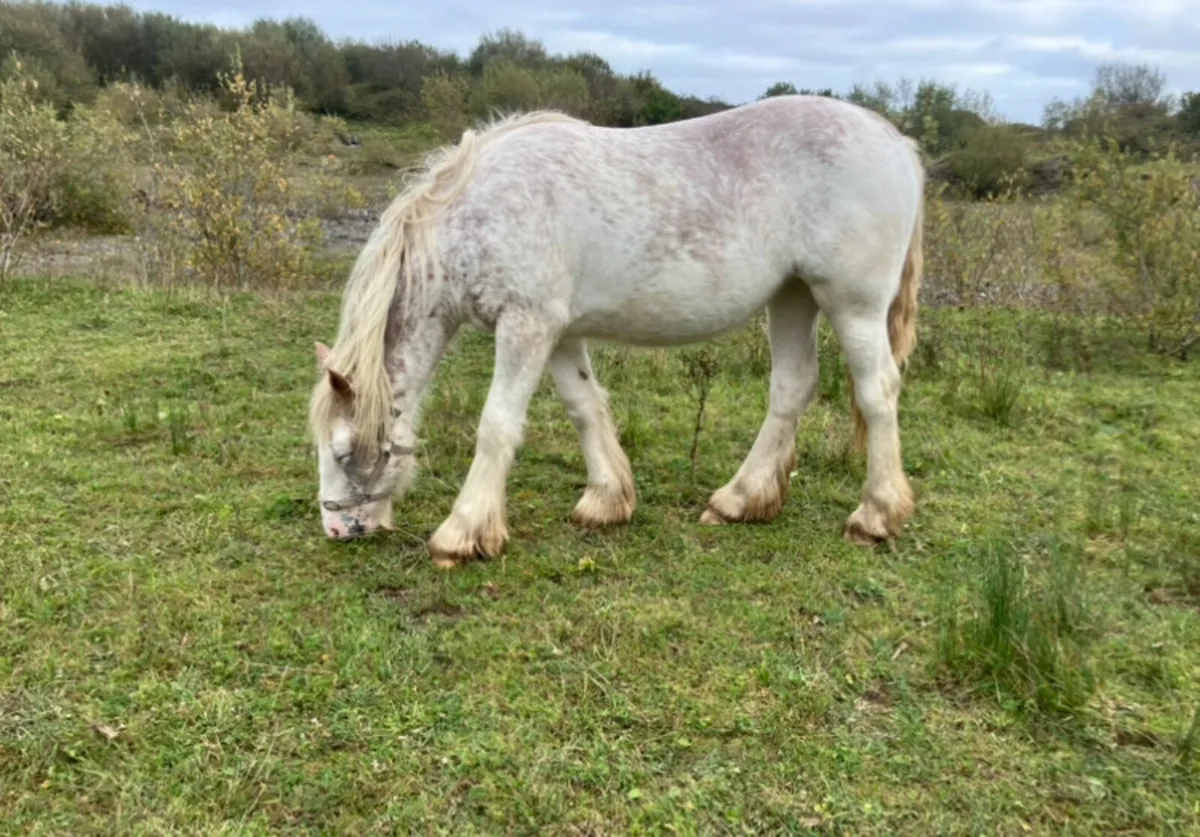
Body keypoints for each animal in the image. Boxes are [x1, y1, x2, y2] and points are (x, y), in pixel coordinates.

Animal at [308, 93, 925, 569]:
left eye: (341, 451)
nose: (335, 531)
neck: (477, 212)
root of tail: (897, 144)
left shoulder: (526, 326)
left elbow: (497, 425)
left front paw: (462, 534)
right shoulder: (558, 333)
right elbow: (584, 406)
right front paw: (607, 500)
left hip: (852, 305)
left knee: (877, 392)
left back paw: (875, 516)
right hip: (791, 297)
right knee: (792, 388)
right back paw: (740, 500)